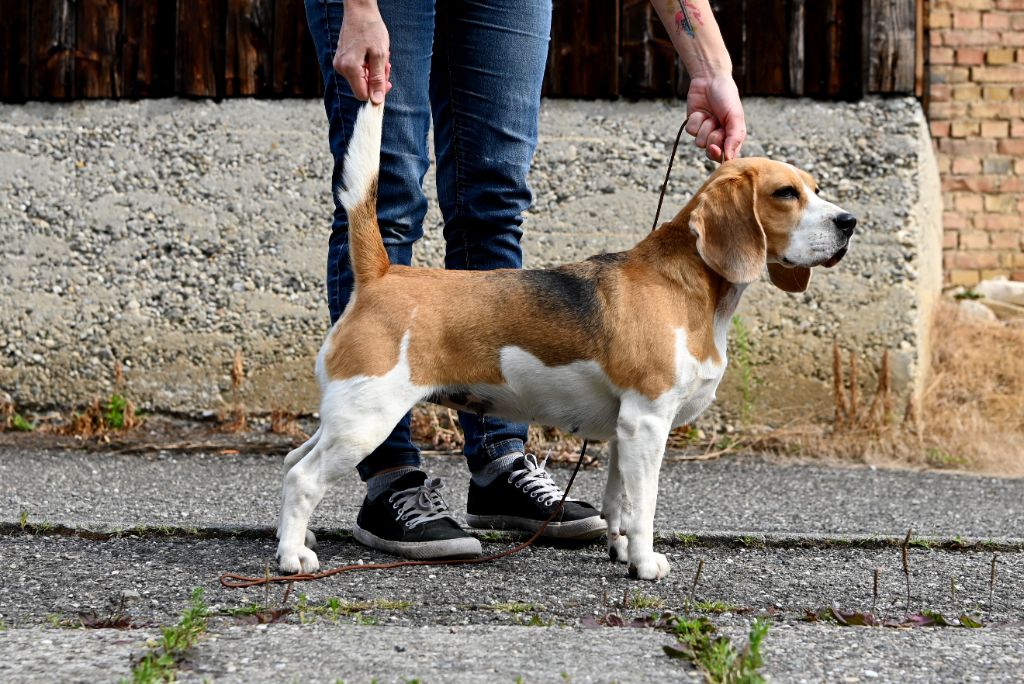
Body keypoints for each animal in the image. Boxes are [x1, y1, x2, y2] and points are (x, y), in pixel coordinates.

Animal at [274, 101, 856, 581]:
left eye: (816, 187)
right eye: (786, 194)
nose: (850, 222)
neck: (689, 285)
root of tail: (382, 274)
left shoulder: (626, 430)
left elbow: (619, 501)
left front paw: (620, 550)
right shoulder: (648, 421)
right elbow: (646, 505)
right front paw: (645, 563)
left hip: (345, 414)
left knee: (292, 462)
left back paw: (295, 537)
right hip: (368, 419)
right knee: (304, 478)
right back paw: (292, 558)